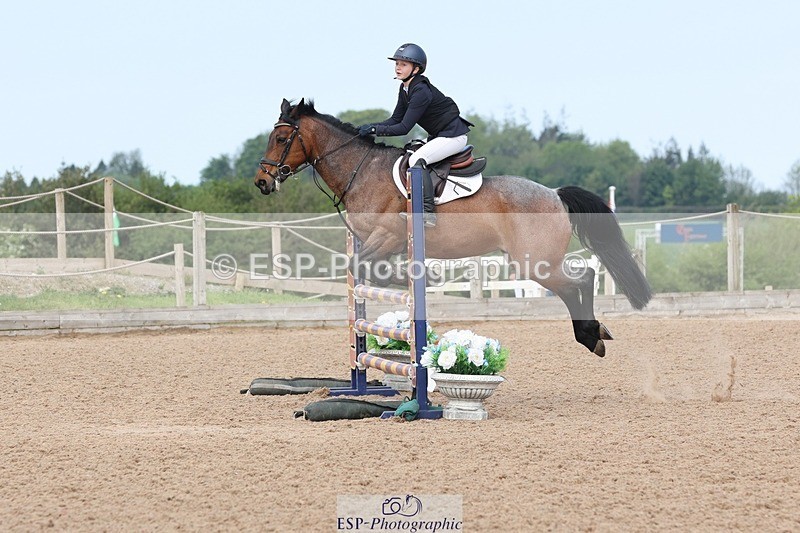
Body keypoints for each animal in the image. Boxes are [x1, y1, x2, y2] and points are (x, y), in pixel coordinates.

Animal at [255, 98, 652, 357]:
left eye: (281, 139)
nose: (262, 182)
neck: (361, 170)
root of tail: (554, 194)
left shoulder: (386, 238)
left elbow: (363, 267)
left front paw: (423, 280)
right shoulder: (376, 243)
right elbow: (366, 270)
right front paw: (417, 279)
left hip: (533, 262)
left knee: (580, 281)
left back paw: (591, 335)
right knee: (579, 281)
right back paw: (593, 333)